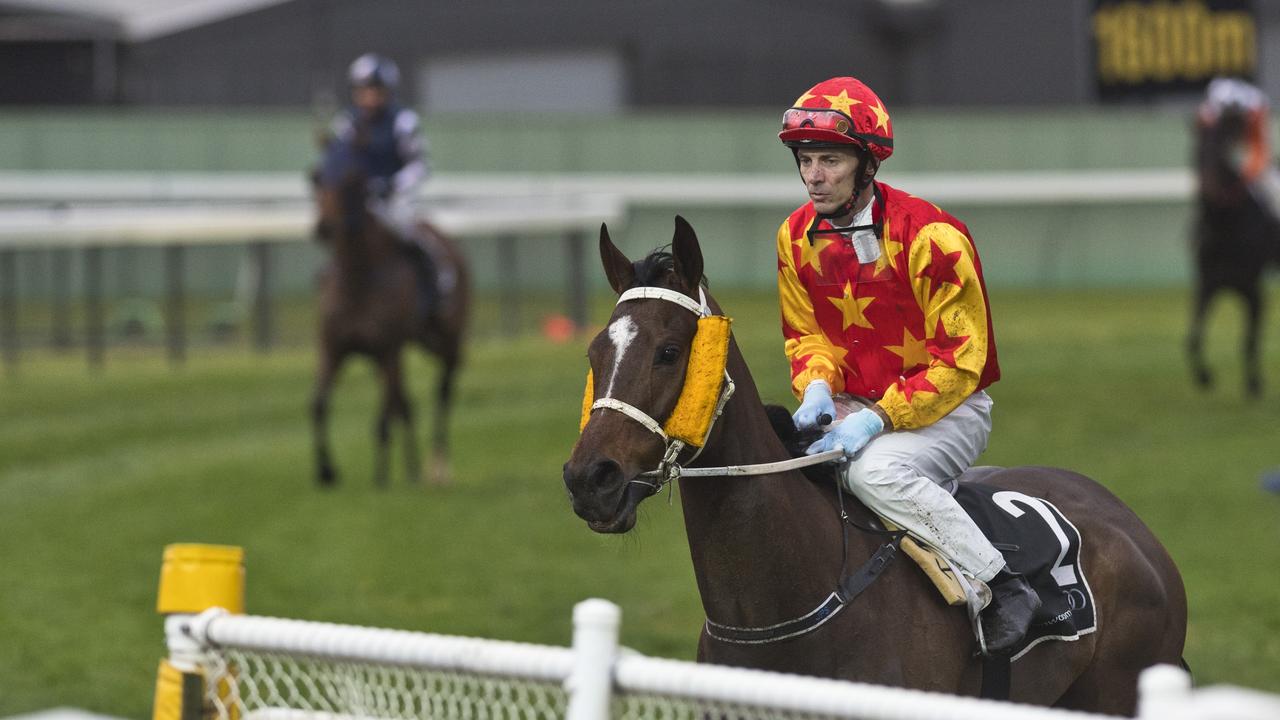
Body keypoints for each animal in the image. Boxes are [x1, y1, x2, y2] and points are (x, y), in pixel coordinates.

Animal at [312, 137, 473, 484]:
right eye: (316, 177)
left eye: (352, 181)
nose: (324, 227)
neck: (358, 279)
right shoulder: (334, 348)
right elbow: (317, 405)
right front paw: (326, 471)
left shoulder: (387, 350)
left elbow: (383, 418)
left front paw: (380, 478)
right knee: (406, 402)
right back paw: (413, 469)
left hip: (447, 339)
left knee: (443, 390)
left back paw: (438, 465)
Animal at [1187, 101, 1280, 394]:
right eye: (1197, 151)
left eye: (1223, 150)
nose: (1209, 188)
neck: (1226, 225)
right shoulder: (1207, 284)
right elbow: (1193, 337)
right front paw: (1205, 377)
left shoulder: (1252, 288)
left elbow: (1249, 338)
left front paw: (1254, 386)